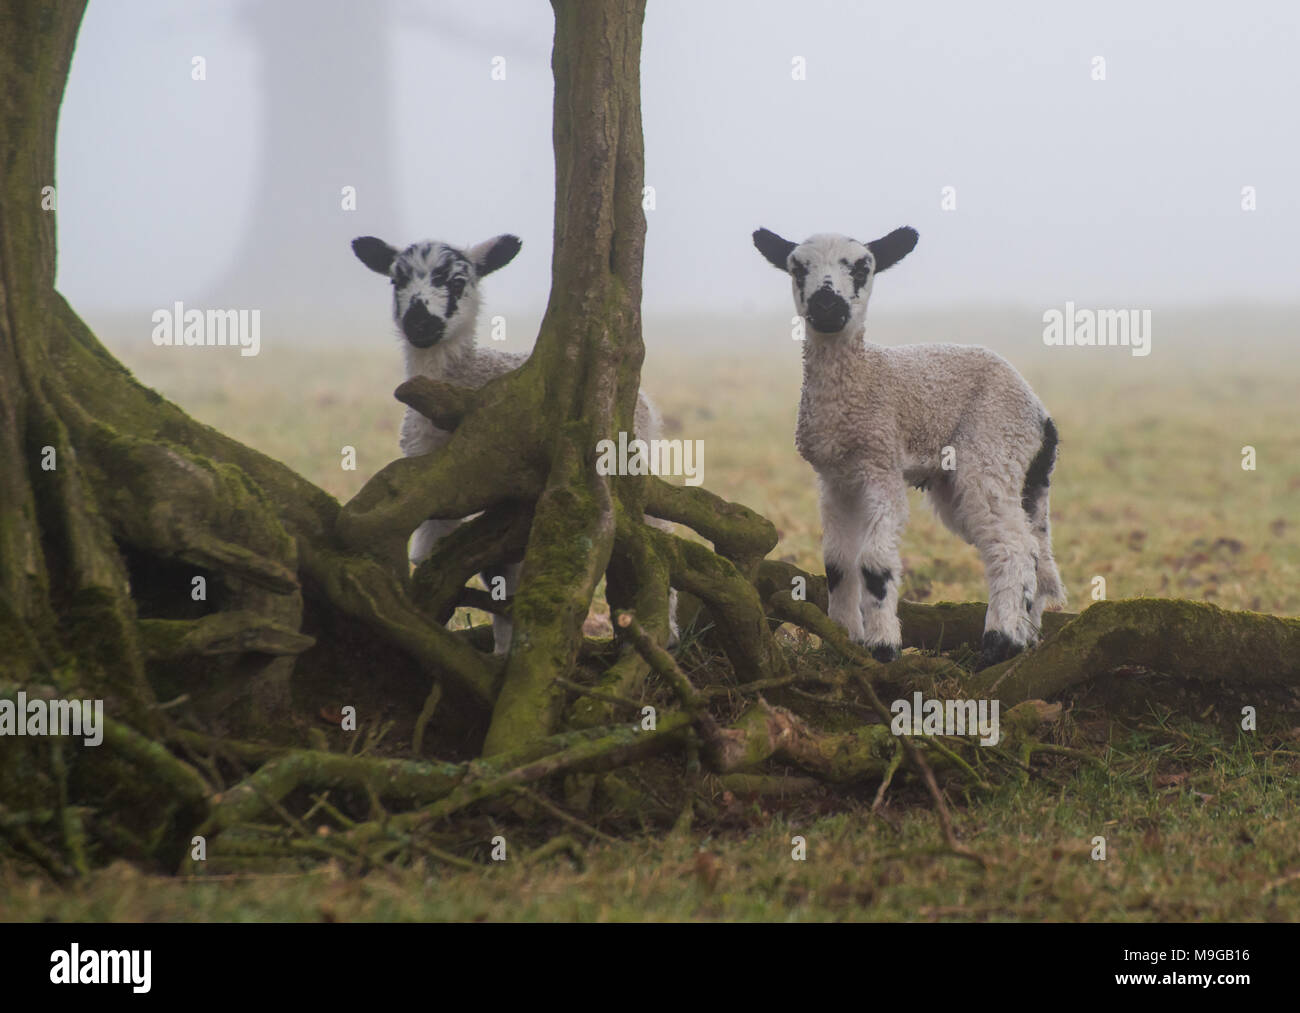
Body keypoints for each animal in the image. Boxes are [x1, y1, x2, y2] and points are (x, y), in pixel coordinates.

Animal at [356, 235, 681, 652]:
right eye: (396, 280)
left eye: (458, 281)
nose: (420, 323)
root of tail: (645, 404)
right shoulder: (430, 478)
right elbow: (436, 555)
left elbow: (507, 570)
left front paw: (507, 647)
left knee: (657, 532)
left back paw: (666, 634)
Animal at [754, 226, 1066, 670]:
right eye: (798, 269)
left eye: (863, 268)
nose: (827, 306)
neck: (863, 376)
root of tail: (1041, 417)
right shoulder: (835, 479)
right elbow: (837, 562)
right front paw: (843, 641)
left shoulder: (881, 461)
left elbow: (874, 563)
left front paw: (883, 646)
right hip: (995, 477)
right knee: (1033, 550)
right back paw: (1026, 637)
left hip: (992, 447)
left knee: (1014, 549)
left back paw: (999, 643)